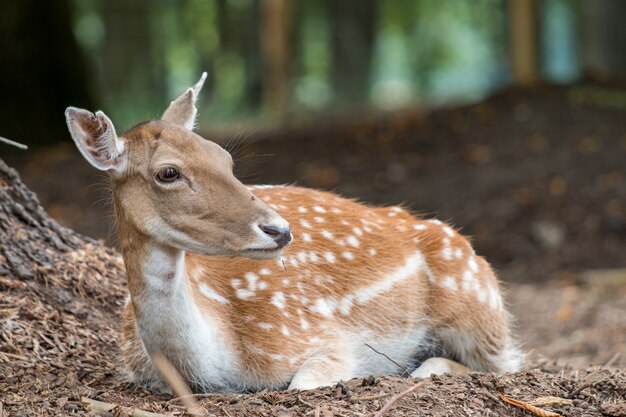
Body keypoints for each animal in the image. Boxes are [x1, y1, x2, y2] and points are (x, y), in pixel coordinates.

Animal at [64, 72, 520, 394]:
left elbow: (301, 383)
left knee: (508, 363)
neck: (214, 365)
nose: (279, 230)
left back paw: (423, 368)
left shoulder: (322, 337)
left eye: (224, 157)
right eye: (168, 173)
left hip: (478, 308)